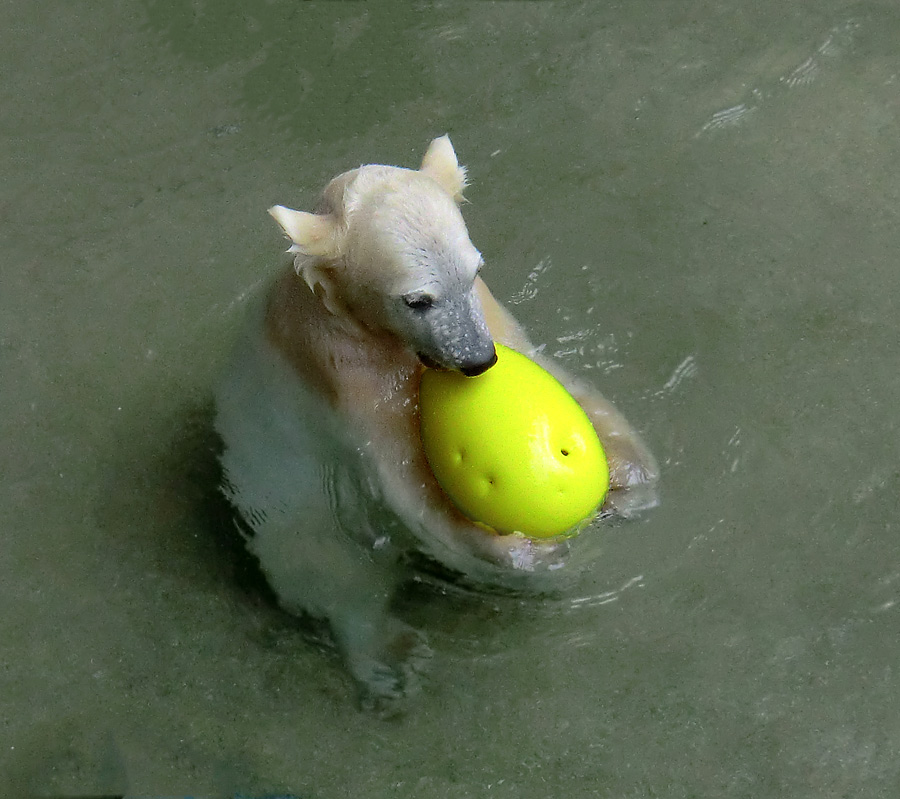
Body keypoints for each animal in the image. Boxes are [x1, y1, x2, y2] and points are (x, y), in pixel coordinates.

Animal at [214, 138, 656, 712]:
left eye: (474, 269)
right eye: (416, 299)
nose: (477, 361)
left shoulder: (490, 313)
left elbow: (552, 371)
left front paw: (630, 479)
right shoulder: (342, 371)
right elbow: (406, 478)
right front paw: (523, 550)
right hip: (276, 493)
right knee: (325, 564)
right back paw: (391, 658)